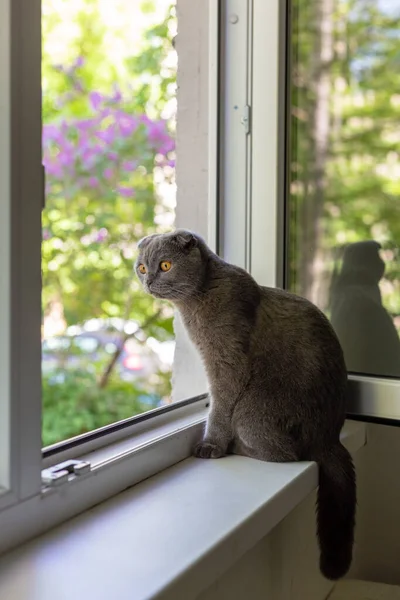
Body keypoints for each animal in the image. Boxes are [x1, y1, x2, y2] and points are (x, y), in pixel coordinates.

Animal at [137, 227, 356, 580]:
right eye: (142, 267)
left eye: (166, 265)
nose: (149, 281)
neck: (199, 298)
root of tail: (331, 438)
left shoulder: (227, 363)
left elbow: (219, 407)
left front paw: (210, 445)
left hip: (253, 410)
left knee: (286, 454)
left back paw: (238, 447)